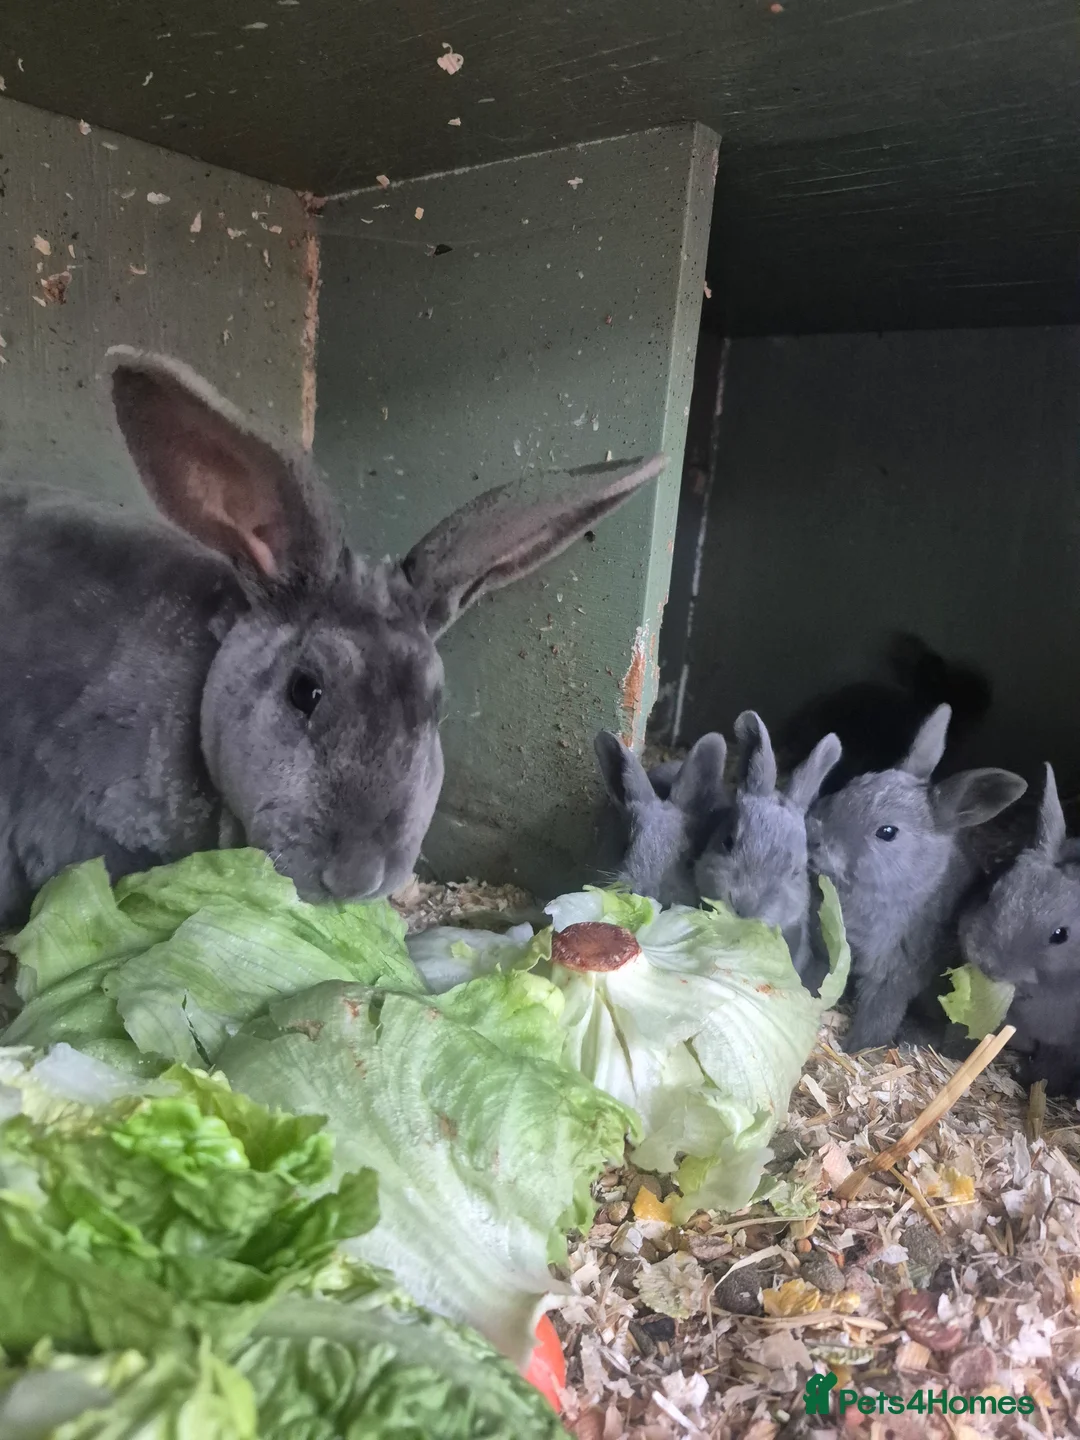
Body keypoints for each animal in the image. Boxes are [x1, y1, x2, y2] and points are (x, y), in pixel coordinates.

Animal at [807, 703, 1027, 1053]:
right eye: (852, 785)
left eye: (887, 832)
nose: (814, 835)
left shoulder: (895, 975)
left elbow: (878, 1017)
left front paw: (853, 1047)